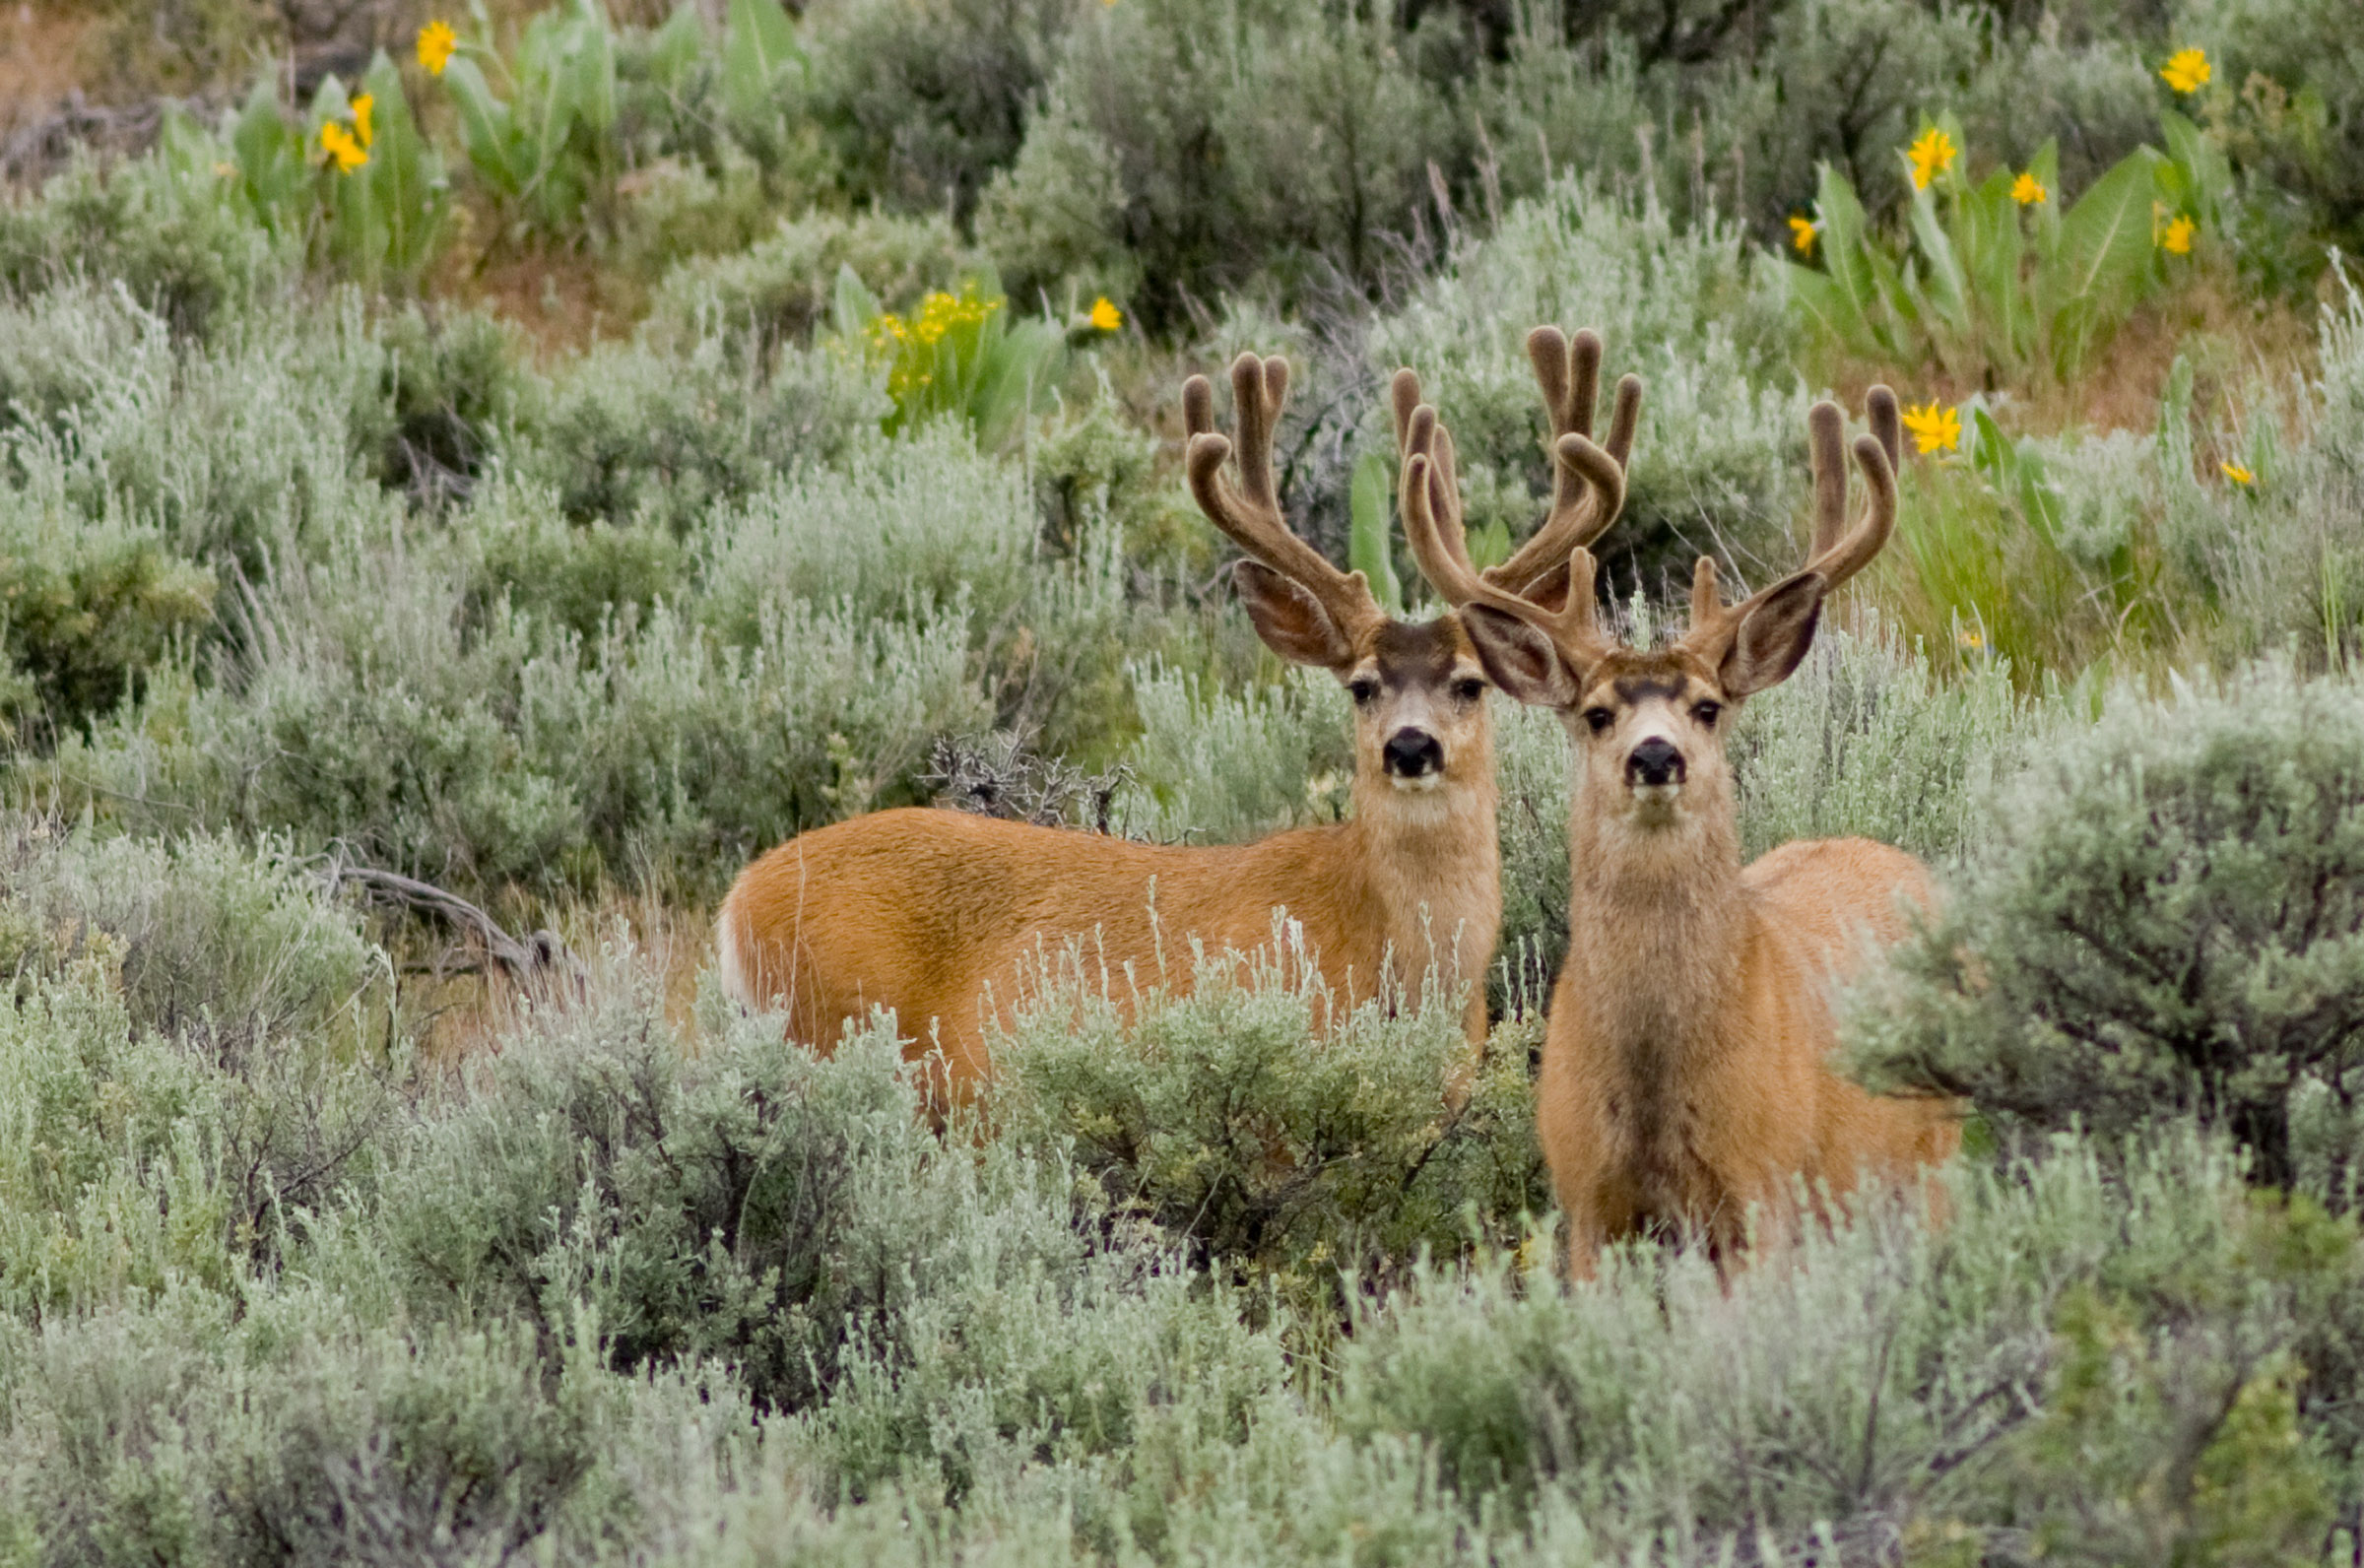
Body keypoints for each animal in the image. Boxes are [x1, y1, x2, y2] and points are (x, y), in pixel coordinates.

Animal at [1396, 360, 1960, 1276]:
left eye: (1706, 706)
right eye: (1595, 713)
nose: (1656, 757)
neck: (1658, 1083)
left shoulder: (1763, 1183)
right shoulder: (1585, 1199)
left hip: (1929, 1156)